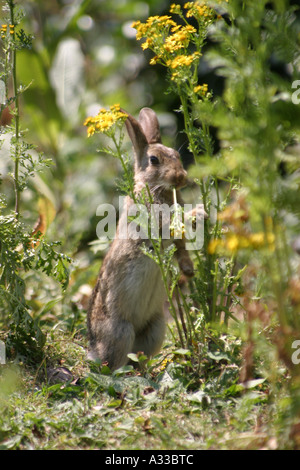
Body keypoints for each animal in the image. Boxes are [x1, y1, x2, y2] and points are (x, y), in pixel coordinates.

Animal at [85, 107, 196, 370]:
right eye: (154, 160)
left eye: (177, 154)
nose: (181, 177)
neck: (157, 189)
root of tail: (94, 350)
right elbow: (170, 227)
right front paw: (198, 213)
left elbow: (181, 249)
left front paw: (189, 271)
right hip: (120, 331)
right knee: (114, 364)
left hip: (156, 328)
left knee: (139, 358)